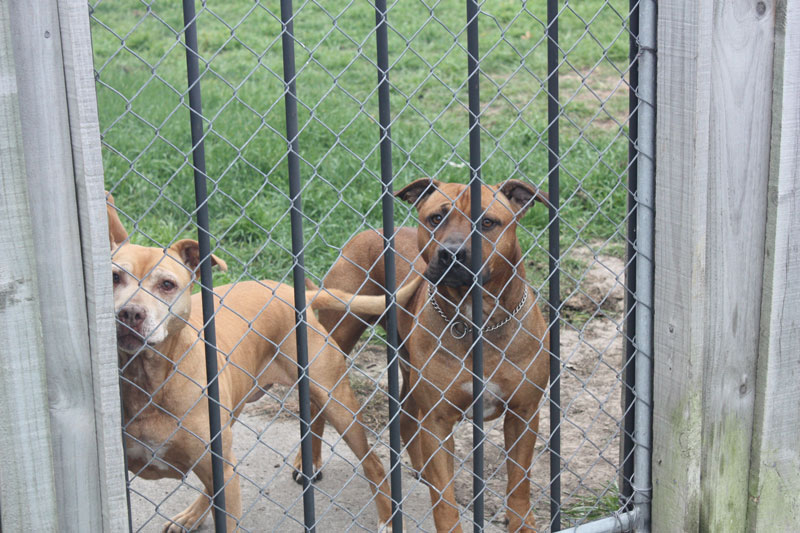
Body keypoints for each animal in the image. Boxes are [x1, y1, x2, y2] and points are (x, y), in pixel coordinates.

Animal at [107, 202, 418, 528]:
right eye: (114, 277)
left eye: (167, 285)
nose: (130, 313)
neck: (148, 379)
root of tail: (290, 292)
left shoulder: (220, 468)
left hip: (336, 400)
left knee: (372, 462)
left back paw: (387, 519)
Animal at [310, 180, 552, 532]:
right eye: (436, 218)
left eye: (488, 222)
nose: (452, 252)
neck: (476, 322)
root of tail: (369, 232)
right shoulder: (438, 421)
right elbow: (445, 500)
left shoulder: (523, 413)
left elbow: (519, 481)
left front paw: (521, 523)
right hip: (333, 342)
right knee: (315, 407)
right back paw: (309, 462)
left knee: (407, 419)